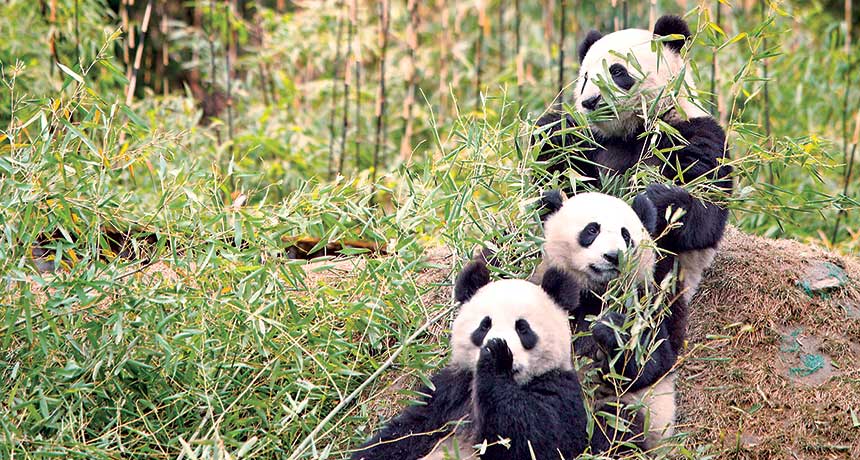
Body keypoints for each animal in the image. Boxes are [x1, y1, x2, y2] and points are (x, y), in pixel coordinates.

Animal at [351, 260, 639, 459]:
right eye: (484, 325)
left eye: (523, 328)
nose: (498, 342)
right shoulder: (450, 390)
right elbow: (407, 432)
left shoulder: (561, 390)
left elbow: (533, 438)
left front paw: (497, 358)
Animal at [531, 190, 683, 449]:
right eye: (592, 230)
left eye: (626, 235)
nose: (613, 257)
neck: (594, 292)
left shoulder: (643, 304)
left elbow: (652, 362)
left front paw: (611, 330)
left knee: (616, 425)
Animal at [533, 14, 733, 303]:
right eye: (585, 78)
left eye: (617, 71)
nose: (590, 101)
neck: (634, 130)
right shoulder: (595, 143)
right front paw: (554, 134)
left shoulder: (694, 133)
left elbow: (704, 210)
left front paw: (656, 197)